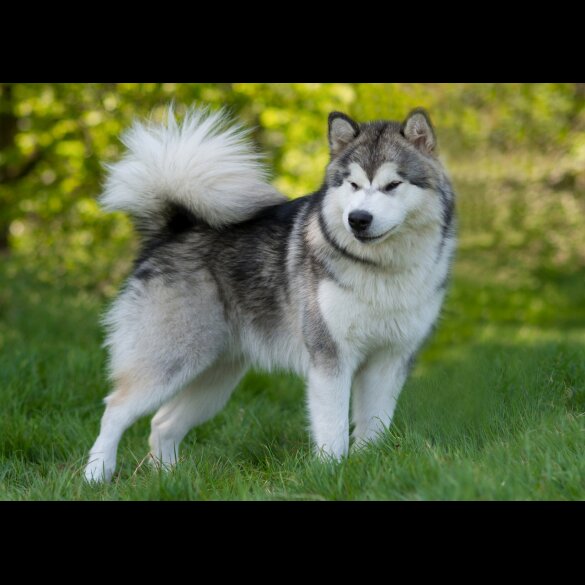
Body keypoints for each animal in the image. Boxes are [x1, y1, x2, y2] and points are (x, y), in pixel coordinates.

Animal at [83, 104, 456, 480]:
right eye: (353, 184)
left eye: (393, 184)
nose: (358, 218)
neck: (380, 268)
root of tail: (174, 229)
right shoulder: (329, 357)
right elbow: (333, 428)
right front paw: (331, 471)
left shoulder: (389, 359)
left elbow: (374, 425)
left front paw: (368, 464)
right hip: (171, 358)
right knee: (114, 409)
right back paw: (96, 474)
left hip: (215, 376)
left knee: (162, 422)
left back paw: (170, 478)